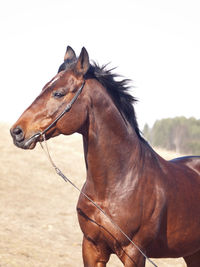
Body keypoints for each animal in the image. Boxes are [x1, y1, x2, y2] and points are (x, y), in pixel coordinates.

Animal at [10, 47, 200, 266]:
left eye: (58, 93)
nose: (17, 132)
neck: (116, 187)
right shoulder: (92, 248)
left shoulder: (134, 253)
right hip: (192, 253)